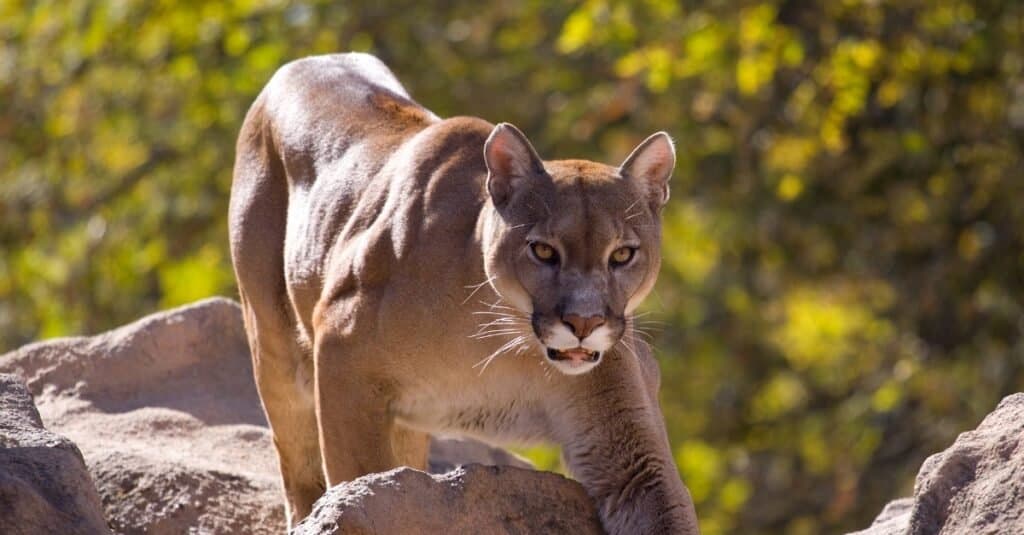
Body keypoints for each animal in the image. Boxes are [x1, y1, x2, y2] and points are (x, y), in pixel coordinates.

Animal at [228, 50, 700, 532]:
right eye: (543, 251)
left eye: (622, 254)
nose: (584, 323)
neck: (503, 339)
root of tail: (314, 58)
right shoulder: (341, 354)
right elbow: (355, 481)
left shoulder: (627, 440)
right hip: (275, 347)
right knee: (298, 464)